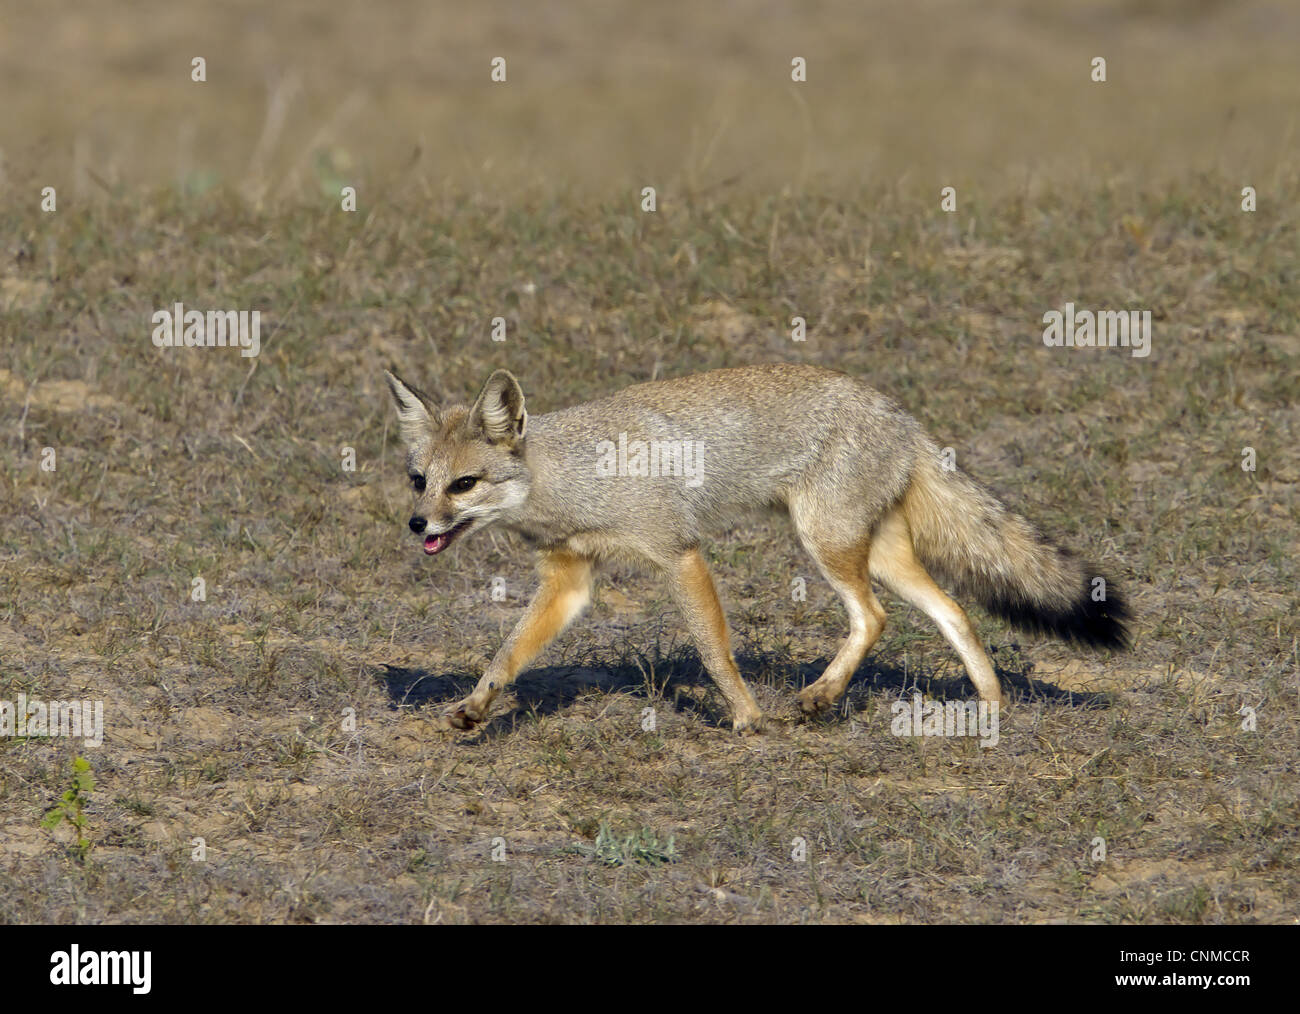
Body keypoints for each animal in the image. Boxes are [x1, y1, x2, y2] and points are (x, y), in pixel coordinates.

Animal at [379, 361, 1123, 728]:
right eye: (419, 481)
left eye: (464, 484)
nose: (418, 525)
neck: (575, 478)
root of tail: (899, 412)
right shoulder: (570, 580)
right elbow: (506, 655)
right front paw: (476, 709)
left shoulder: (678, 553)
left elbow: (714, 649)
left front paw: (745, 719)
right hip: (875, 552)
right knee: (953, 610)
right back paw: (990, 704)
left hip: (826, 544)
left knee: (875, 616)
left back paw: (819, 698)